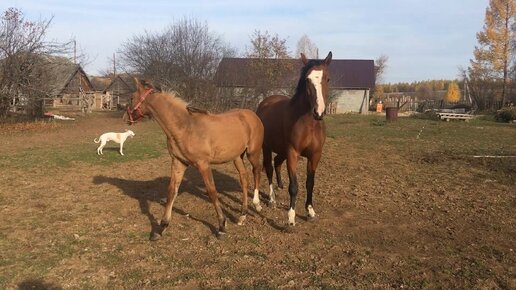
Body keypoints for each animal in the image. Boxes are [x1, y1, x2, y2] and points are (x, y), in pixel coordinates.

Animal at [123, 78, 264, 239]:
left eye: (131, 98)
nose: (125, 118)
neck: (185, 127)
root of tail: (252, 115)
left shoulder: (203, 164)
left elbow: (212, 191)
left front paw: (222, 225)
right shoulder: (178, 163)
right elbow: (171, 191)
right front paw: (161, 227)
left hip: (253, 153)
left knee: (257, 170)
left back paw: (257, 204)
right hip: (237, 157)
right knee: (244, 179)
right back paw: (242, 216)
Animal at [256, 51, 332, 225]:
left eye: (327, 79)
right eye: (307, 80)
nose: (318, 112)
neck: (309, 124)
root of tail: (265, 103)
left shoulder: (315, 155)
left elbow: (310, 183)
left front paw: (310, 211)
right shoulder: (292, 153)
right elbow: (294, 186)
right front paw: (291, 217)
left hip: (281, 150)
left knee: (277, 162)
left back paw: (280, 186)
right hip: (267, 147)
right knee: (269, 168)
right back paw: (272, 199)